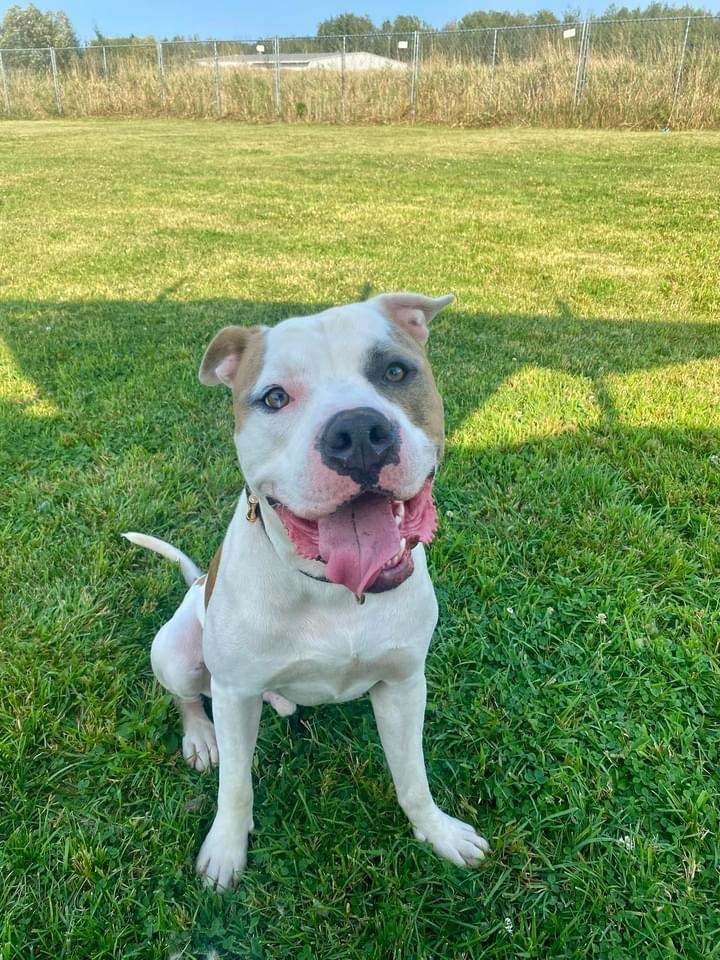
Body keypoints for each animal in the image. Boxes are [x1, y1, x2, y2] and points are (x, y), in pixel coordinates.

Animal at [128, 294, 490, 892]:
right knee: (188, 697)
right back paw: (201, 738)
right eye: (275, 398)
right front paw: (225, 852)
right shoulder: (234, 694)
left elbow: (412, 777)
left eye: (396, 372)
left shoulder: (403, 685)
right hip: (175, 653)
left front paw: (437, 833)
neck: (333, 593)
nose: (359, 433)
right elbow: (235, 787)